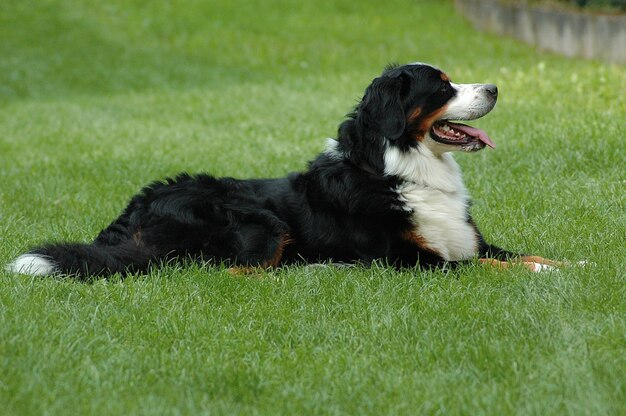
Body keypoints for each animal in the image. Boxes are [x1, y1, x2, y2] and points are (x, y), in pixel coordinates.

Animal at [6, 62, 560, 280]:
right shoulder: (411, 260)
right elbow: (490, 267)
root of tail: (134, 210)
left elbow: (520, 253)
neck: (404, 171)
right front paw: (541, 276)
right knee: (230, 270)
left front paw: (564, 265)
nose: (495, 88)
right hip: (257, 219)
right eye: (443, 86)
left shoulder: (466, 241)